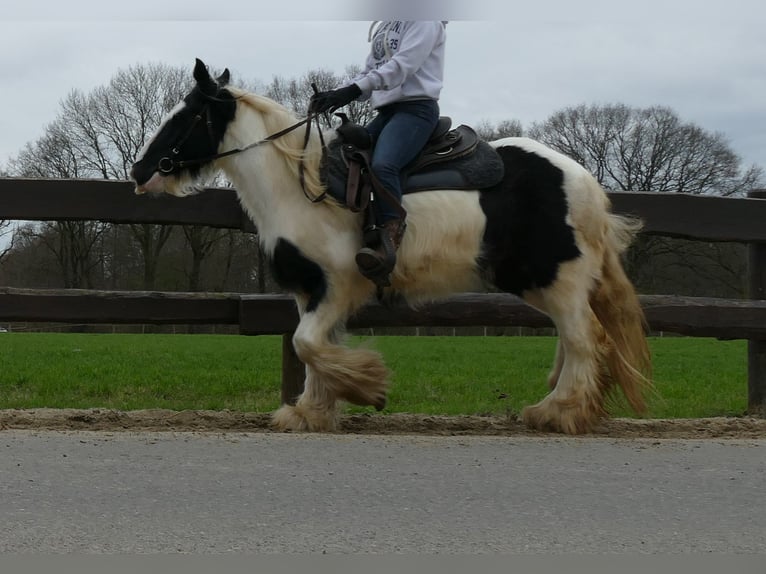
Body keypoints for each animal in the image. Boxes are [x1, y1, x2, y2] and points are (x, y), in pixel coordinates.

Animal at [132, 59, 656, 436]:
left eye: (187, 115)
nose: (140, 171)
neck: (300, 183)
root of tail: (583, 181)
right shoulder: (310, 290)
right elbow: (313, 347)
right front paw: (310, 412)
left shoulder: (337, 286)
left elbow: (306, 344)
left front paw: (369, 387)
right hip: (546, 283)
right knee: (574, 339)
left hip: (555, 278)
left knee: (585, 338)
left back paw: (559, 412)